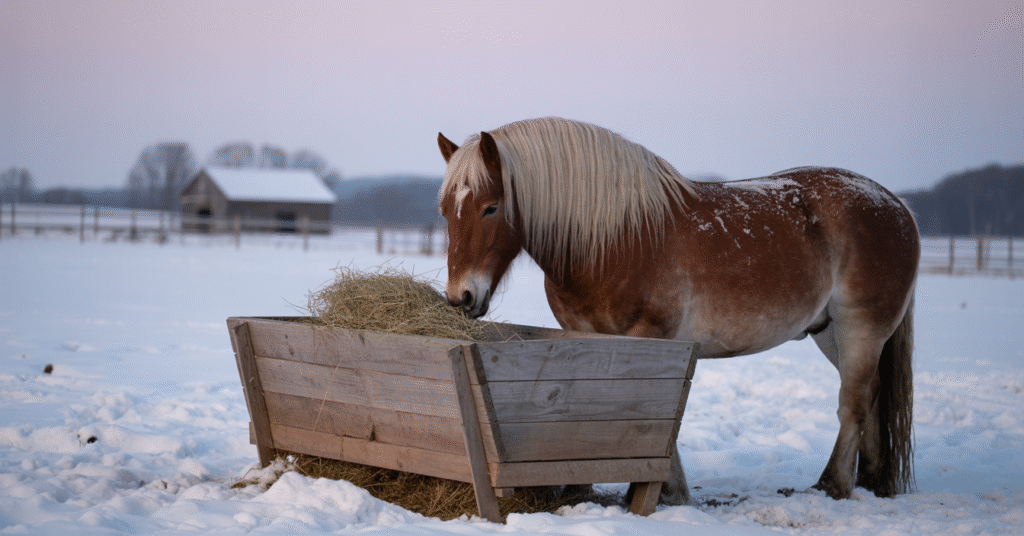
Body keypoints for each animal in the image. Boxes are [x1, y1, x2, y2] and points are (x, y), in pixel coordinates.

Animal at [436, 117, 918, 504]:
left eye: (490, 207)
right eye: (445, 210)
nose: (462, 297)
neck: (617, 238)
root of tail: (897, 206)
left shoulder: (652, 337)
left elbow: (655, 413)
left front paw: (655, 489)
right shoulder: (586, 336)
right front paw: (587, 486)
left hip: (861, 328)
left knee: (853, 400)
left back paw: (833, 485)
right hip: (830, 332)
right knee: (872, 393)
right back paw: (872, 480)